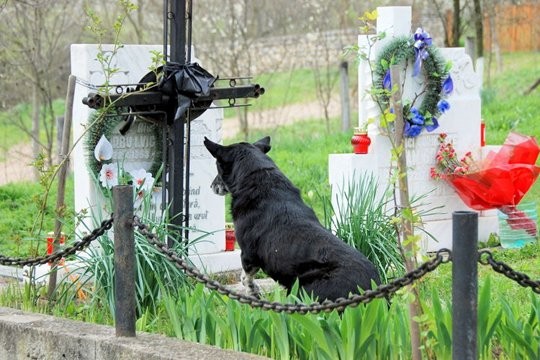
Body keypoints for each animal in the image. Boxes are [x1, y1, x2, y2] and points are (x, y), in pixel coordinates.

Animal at [202, 136, 380, 300]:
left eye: (218, 168)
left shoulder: (248, 254)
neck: (259, 174)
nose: (210, 186)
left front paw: (253, 293)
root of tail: (370, 290)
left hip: (303, 287)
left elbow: (246, 277)